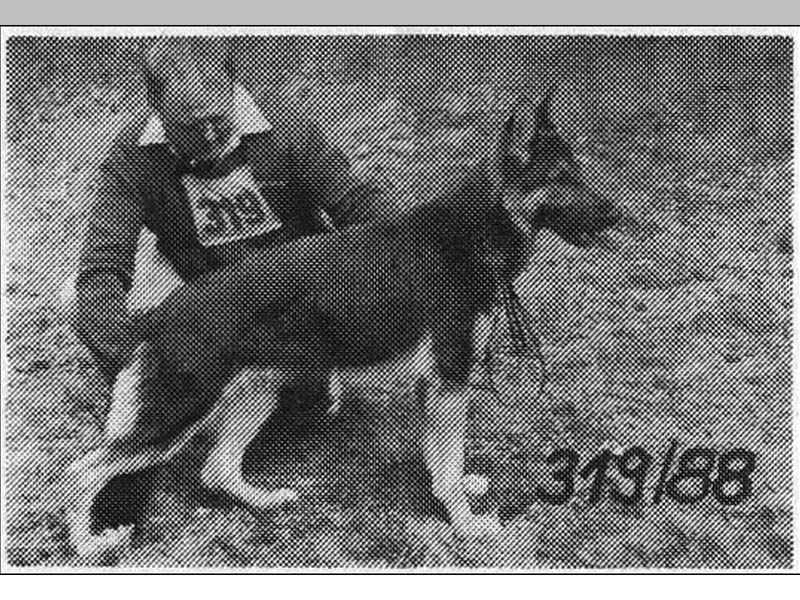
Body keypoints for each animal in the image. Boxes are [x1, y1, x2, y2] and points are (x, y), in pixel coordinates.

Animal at [65, 91, 622, 555]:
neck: (479, 228)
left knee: (217, 468)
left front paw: (457, 493)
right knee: (84, 469)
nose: (619, 216)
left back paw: (265, 501)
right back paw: (89, 545)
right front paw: (465, 523)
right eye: (563, 177)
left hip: (258, 391)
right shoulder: (449, 380)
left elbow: (441, 457)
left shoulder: (437, 386)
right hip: (180, 413)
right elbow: (447, 460)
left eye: (578, 170)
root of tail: (158, 316)